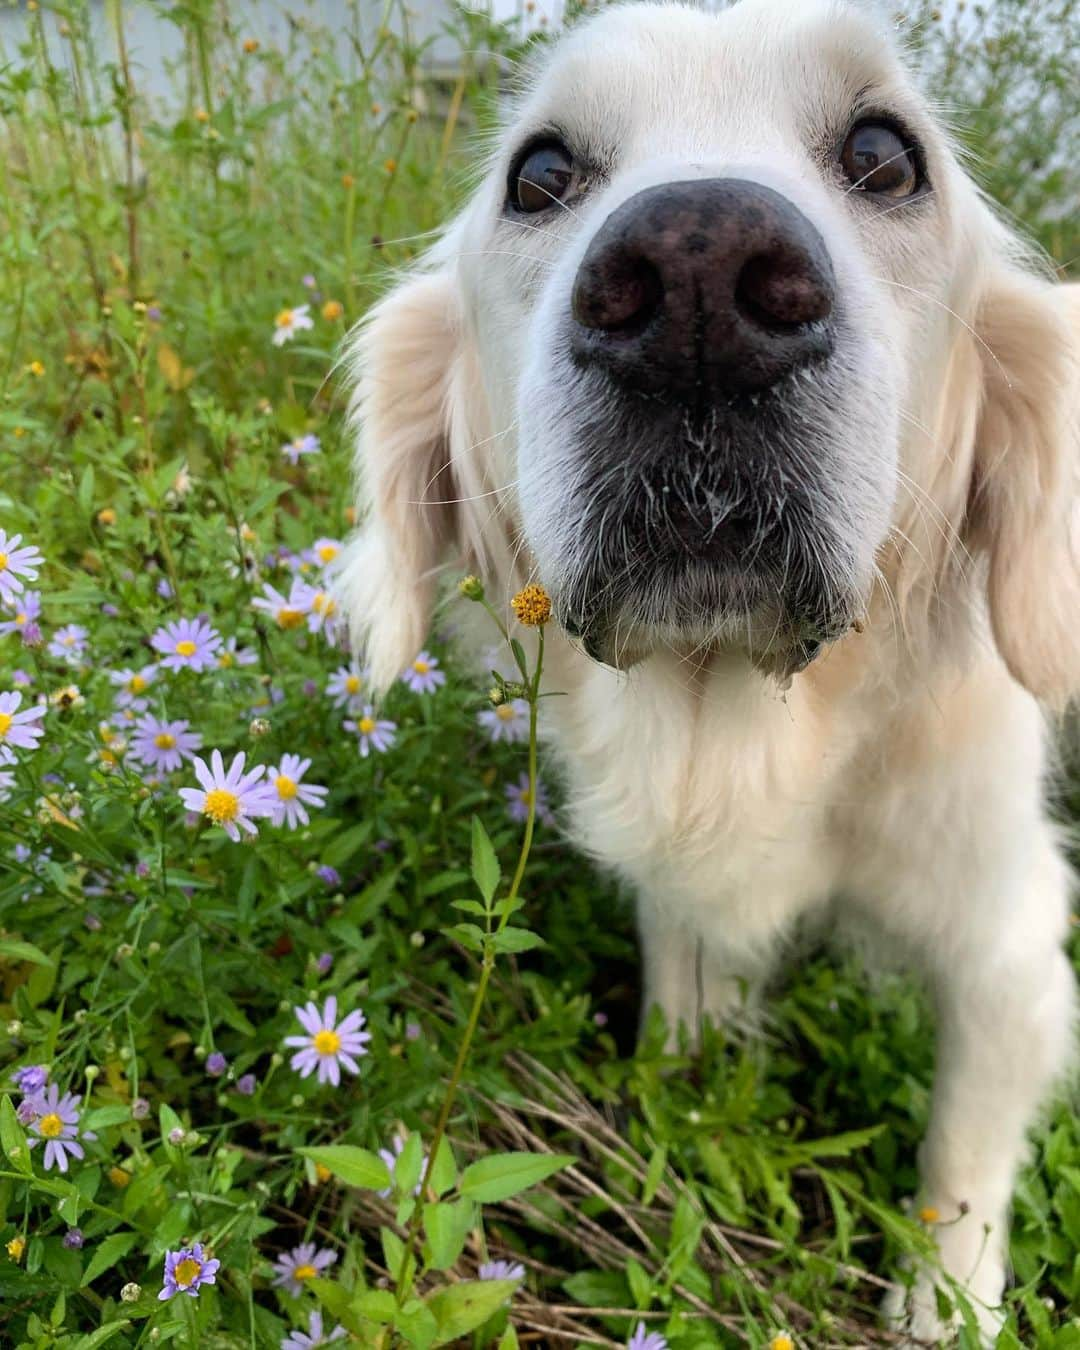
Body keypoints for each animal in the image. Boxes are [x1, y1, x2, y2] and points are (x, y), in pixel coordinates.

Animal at [333, 5, 1074, 1339]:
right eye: (539, 175)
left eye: (886, 155)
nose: (695, 281)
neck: (746, 723)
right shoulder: (682, 893)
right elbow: (689, 1008)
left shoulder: (1013, 942)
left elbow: (963, 1156)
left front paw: (947, 1303)